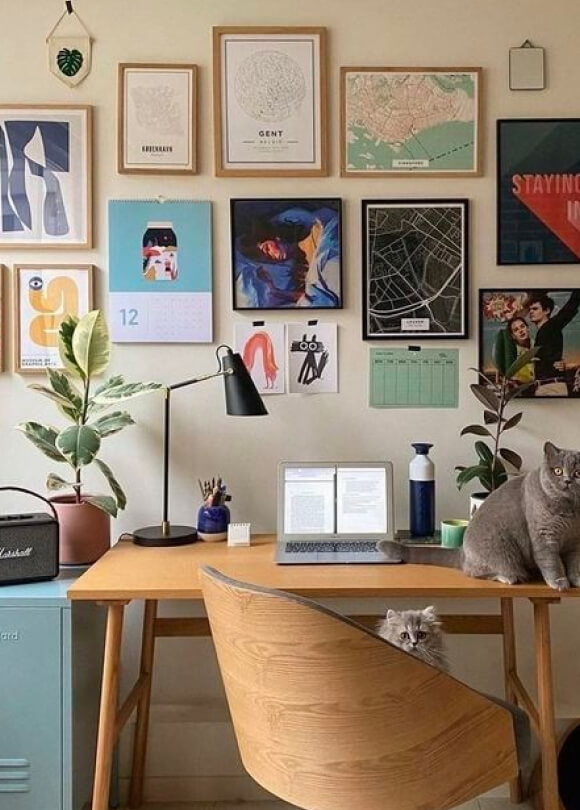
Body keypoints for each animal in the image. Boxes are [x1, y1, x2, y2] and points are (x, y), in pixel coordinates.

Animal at [378, 438, 580, 592]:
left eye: (578, 472)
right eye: (558, 471)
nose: (567, 480)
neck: (571, 510)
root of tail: (462, 551)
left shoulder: (575, 542)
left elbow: (574, 561)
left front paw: (576, 579)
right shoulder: (544, 536)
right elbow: (551, 561)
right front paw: (559, 582)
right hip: (503, 552)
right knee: (475, 571)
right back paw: (508, 577)